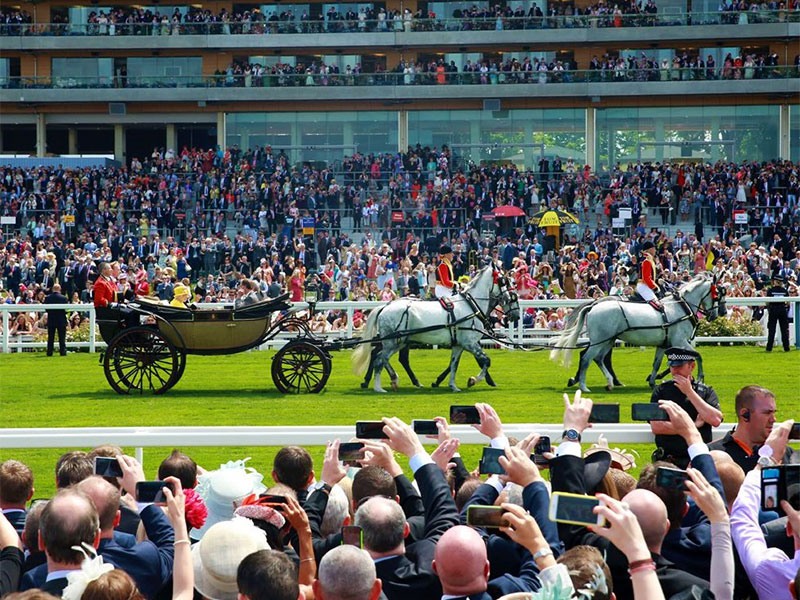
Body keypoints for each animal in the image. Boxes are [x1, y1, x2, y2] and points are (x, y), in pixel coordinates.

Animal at [354, 268, 520, 394]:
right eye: (504, 282)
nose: (516, 315)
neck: (471, 306)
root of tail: (385, 307)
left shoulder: (458, 345)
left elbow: (454, 365)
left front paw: (452, 385)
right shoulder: (470, 343)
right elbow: (485, 361)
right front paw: (474, 380)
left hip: (399, 342)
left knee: (384, 358)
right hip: (392, 342)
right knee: (379, 359)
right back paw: (379, 387)